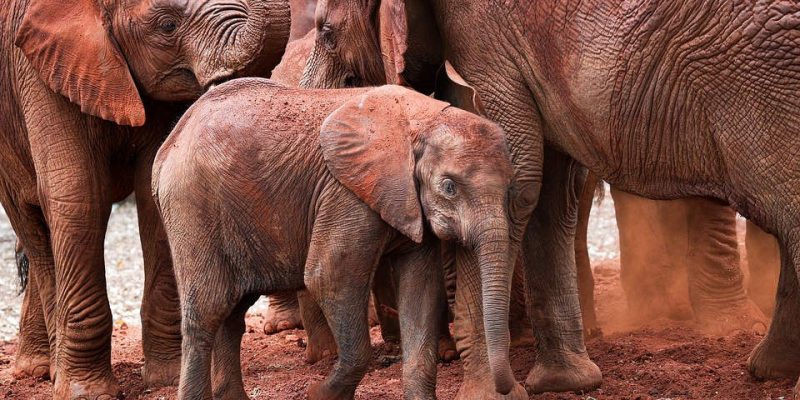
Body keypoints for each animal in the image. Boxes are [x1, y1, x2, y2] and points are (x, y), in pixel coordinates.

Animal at [0, 0, 290, 397]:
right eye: (167, 26)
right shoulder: (41, 73)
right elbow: (77, 194)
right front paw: (87, 393)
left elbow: (153, 196)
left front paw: (166, 378)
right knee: (34, 229)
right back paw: (46, 371)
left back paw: (42, 369)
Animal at [153, 80, 516, 400]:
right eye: (449, 187)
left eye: (509, 188)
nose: (505, 387)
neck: (421, 120)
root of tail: (170, 142)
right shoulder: (345, 196)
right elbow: (328, 277)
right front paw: (317, 394)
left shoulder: (408, 203)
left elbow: (422, 289)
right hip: (192, 207)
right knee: (208, 312)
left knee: (231, 313)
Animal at [305, 0, 800, 398]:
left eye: (327, 32)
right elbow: (547, 193)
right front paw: (567, 383)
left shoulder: (483, 40)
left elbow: (518, 179)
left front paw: (491, 394)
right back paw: (770, 369)